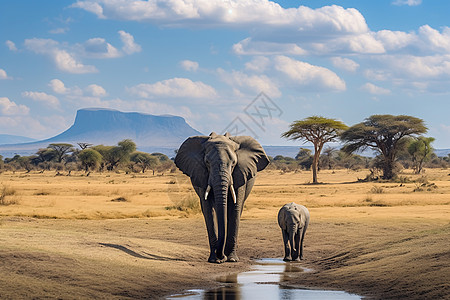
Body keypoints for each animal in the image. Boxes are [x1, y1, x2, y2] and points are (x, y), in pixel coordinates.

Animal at [174, 132, 268, 264]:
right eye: (207, 163)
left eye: (233, 163)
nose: (222, 257)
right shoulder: (202, 175)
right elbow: (208, 209)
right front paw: (214, 260)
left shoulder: (240, 173)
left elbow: (235, 207)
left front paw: (232, 259)